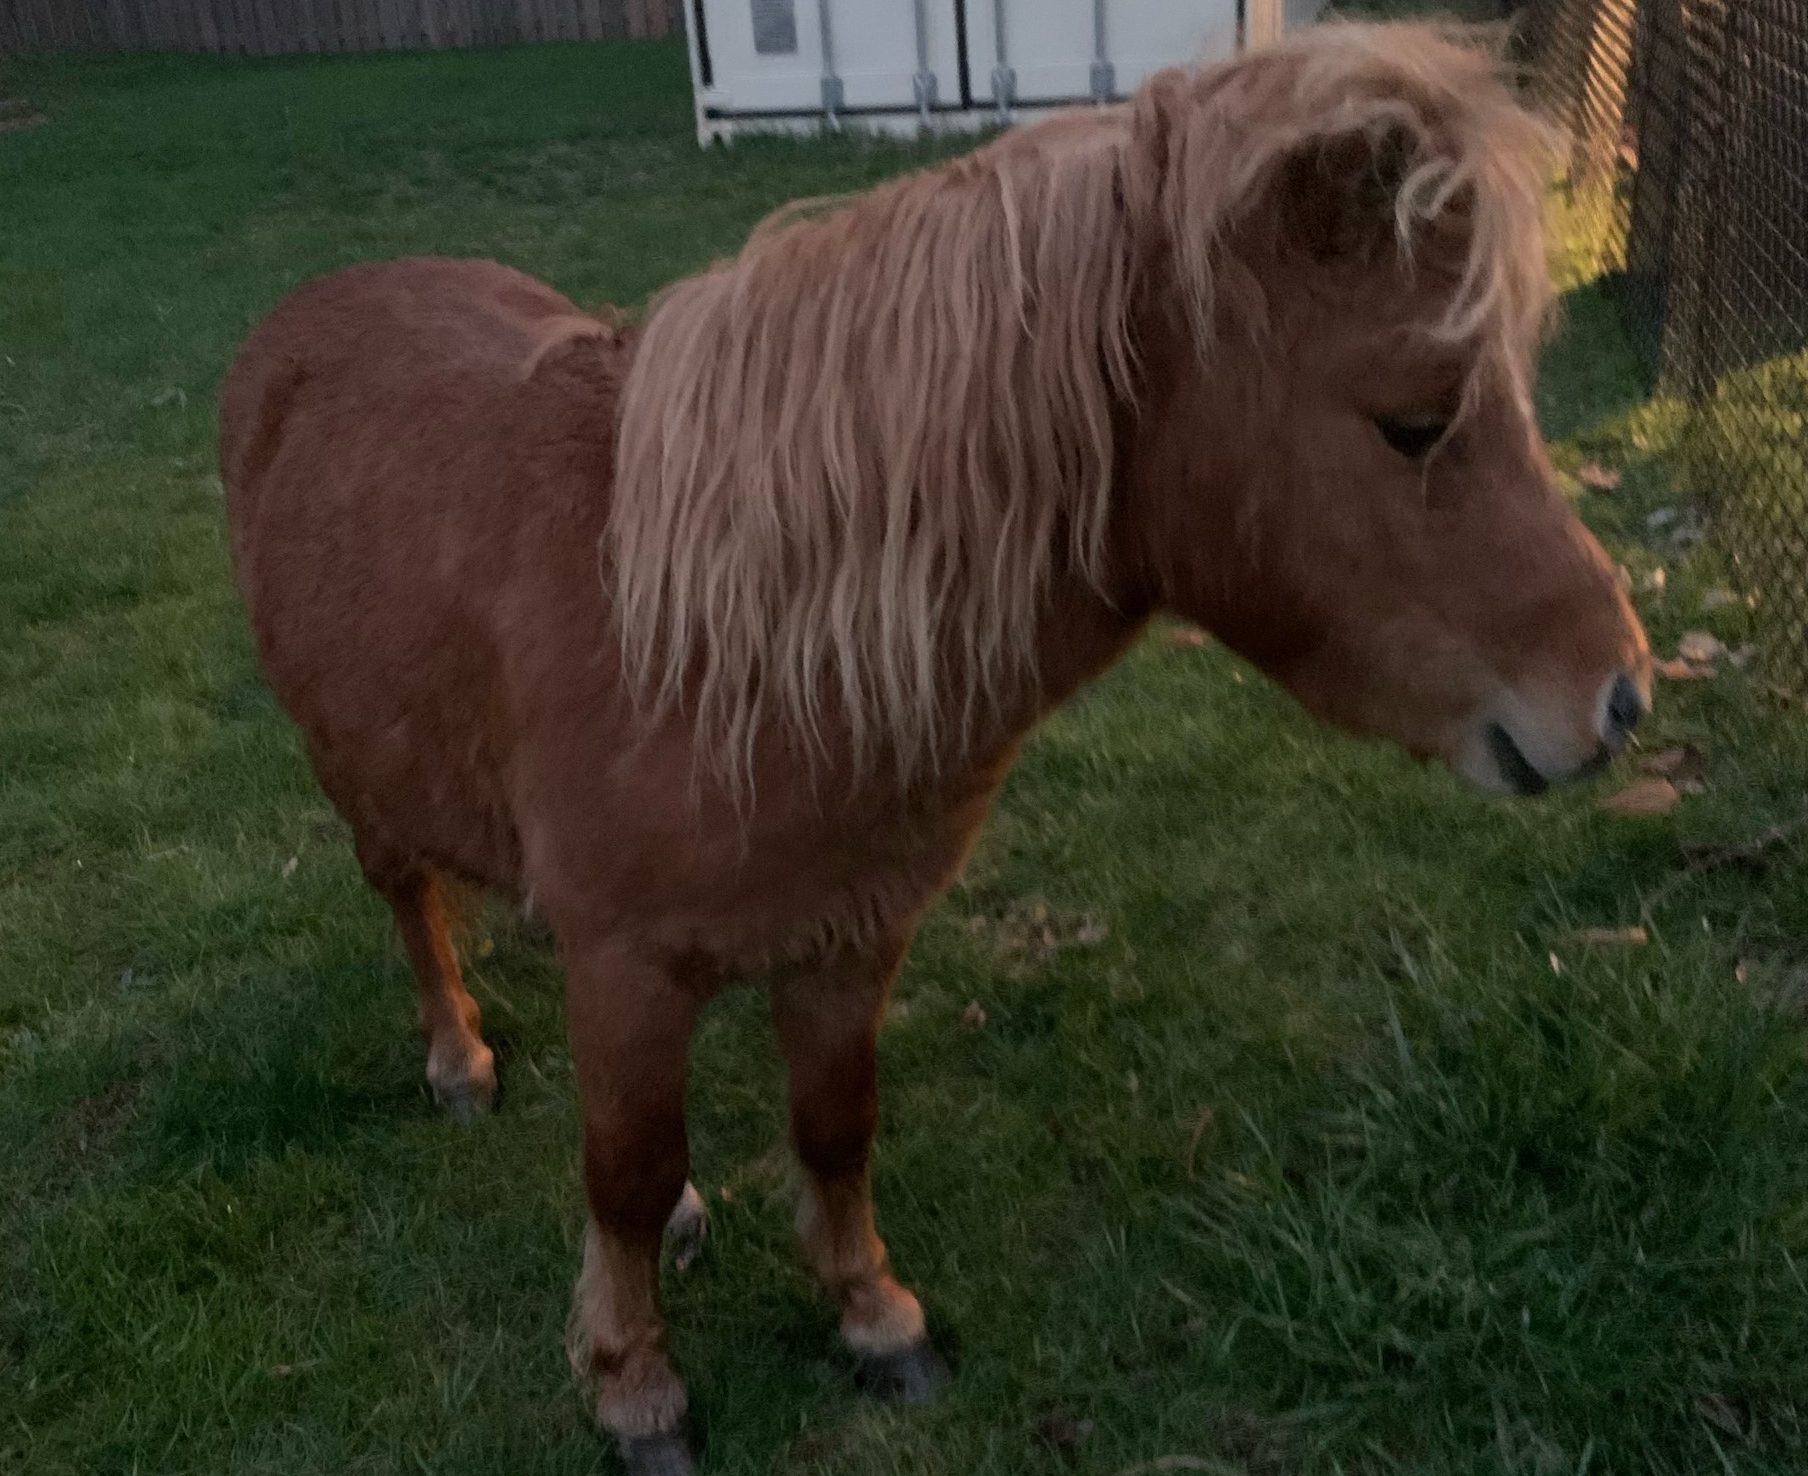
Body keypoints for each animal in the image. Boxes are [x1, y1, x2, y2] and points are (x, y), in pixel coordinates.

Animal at [220, 24, 1649, 1473]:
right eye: (1415, 420)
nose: (1619, 696)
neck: (725, 640)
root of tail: (308, 317)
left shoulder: (851, 942)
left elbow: (828, 1130)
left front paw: (871, 1317)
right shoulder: (627, 963)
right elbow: (619, 1169)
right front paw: (633, 1384)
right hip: (363, 788)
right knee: (412, 906)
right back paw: (456, 1061)